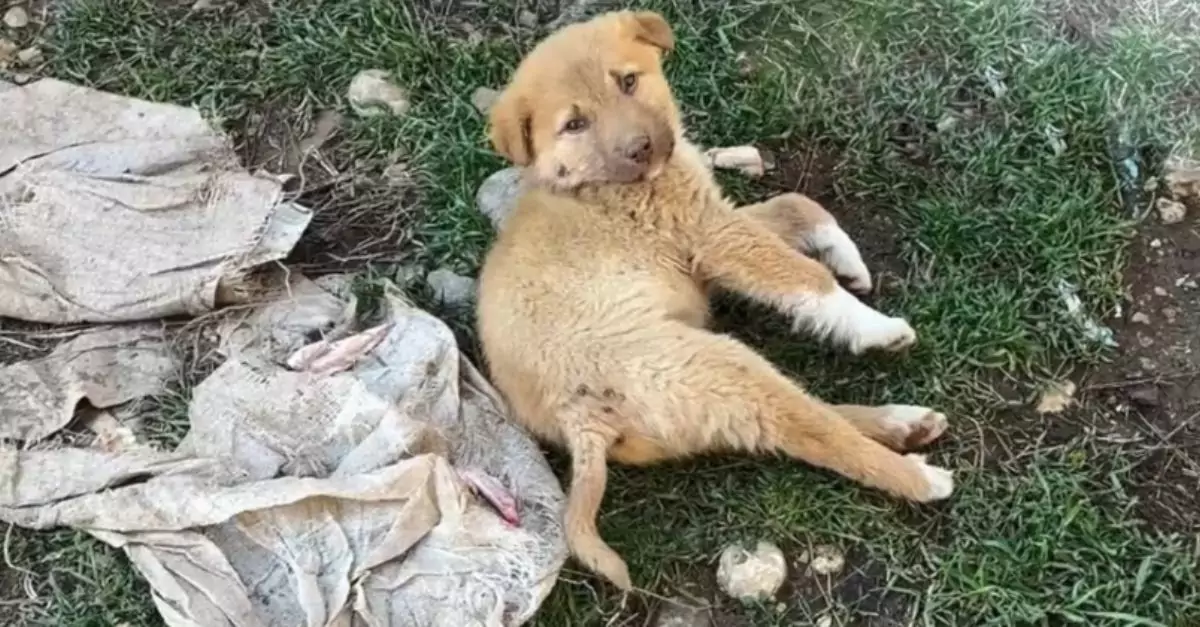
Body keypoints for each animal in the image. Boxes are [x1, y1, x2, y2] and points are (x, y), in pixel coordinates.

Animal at [477, 10, 955, 590]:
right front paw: (873, 326)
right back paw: (918, 477)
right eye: (574, 125)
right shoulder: (712, 234)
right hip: (708, 363)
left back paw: (902, 424)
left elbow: (796, 204)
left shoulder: (706, 235)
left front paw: (846, 258)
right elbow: (801, 275)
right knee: (813, 431)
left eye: (628, 81)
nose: (641, 148)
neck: (591, 184)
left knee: (802, 415)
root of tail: (576, 417)